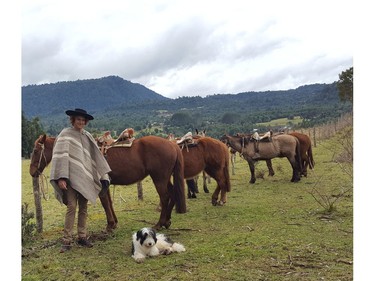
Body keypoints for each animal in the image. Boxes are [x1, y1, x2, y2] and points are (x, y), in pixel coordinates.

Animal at [29, 133, 187, 230]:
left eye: (36, 151)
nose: (32, 171)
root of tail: (172, 145)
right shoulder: (107, 184)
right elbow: (109, 203)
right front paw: (114, 222)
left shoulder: (100, 185)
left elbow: (105, 203)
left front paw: (110, 224)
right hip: (165, 178)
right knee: (172, 194)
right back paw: (167, 221)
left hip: (159, 178)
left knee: (165, 197)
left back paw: (159, 223)